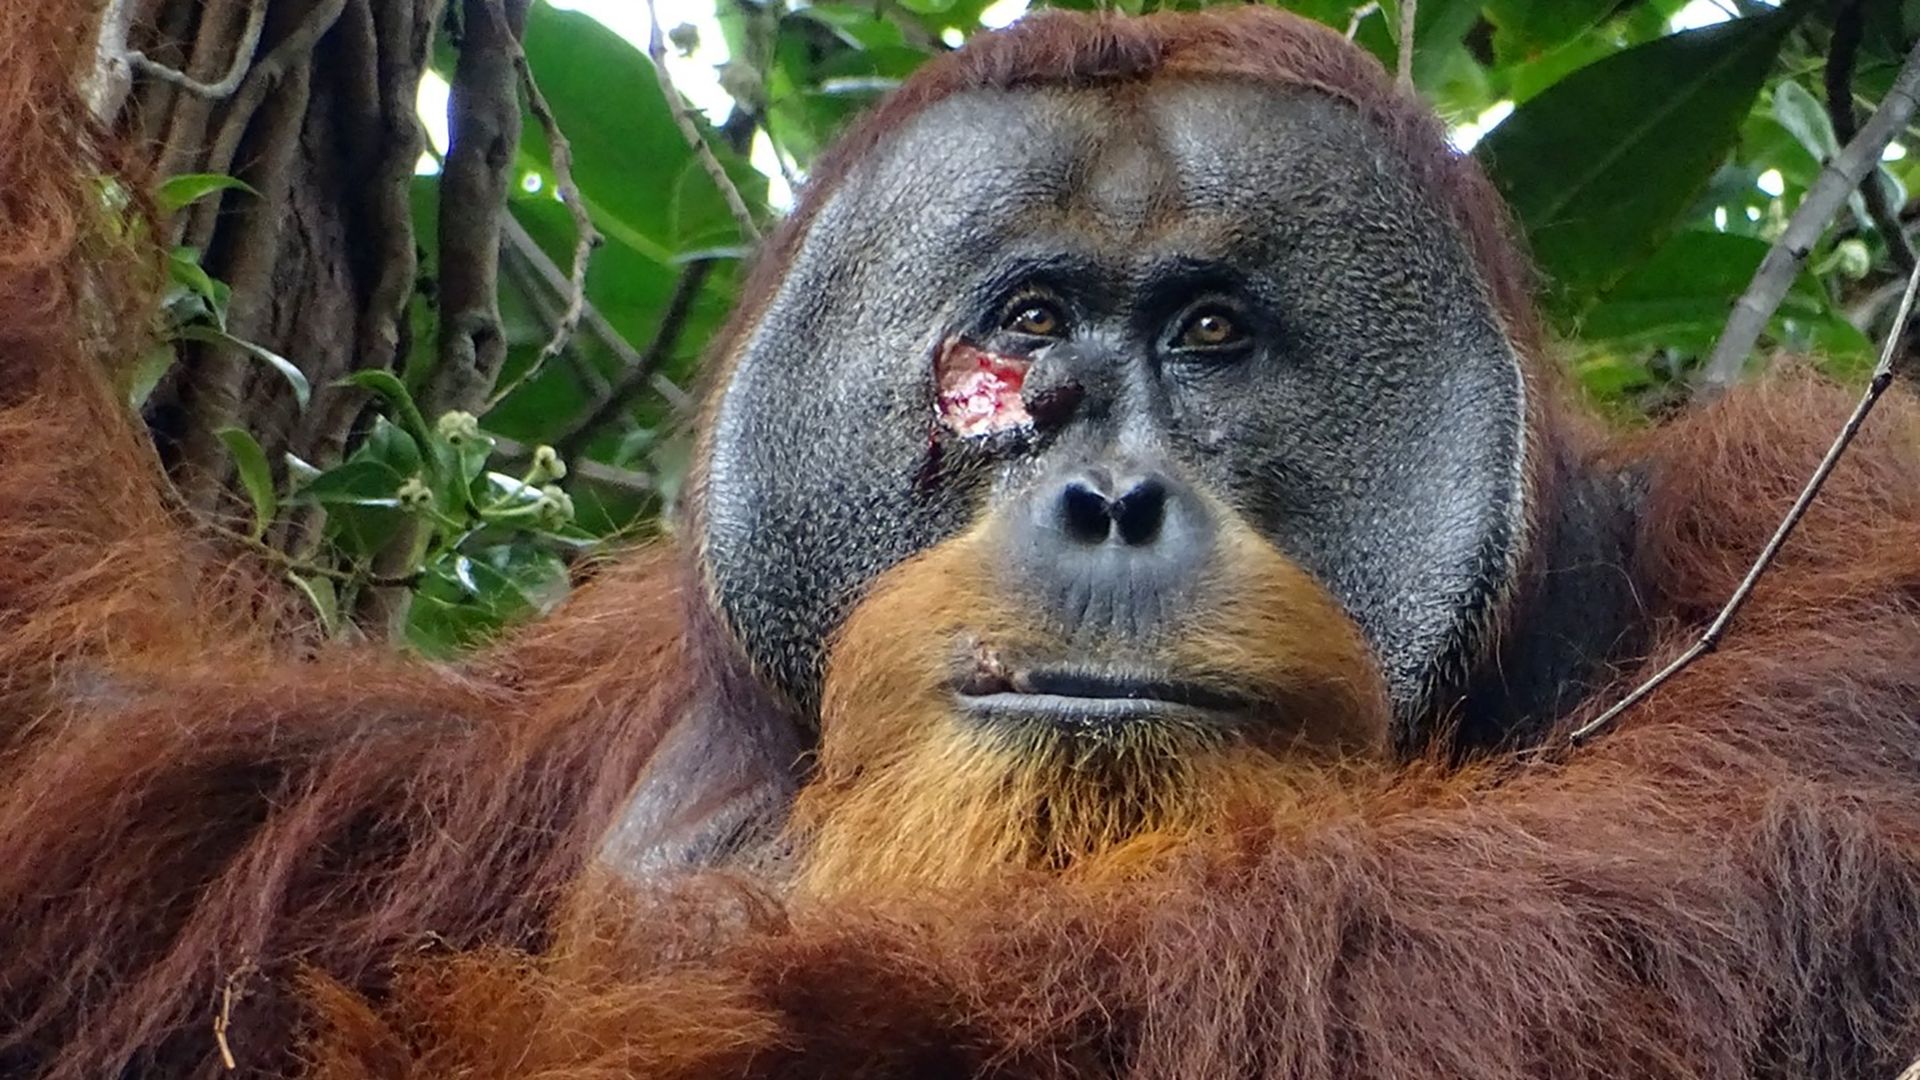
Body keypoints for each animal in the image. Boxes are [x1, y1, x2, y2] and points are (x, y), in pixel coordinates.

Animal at [4, 4, 1920, 1078]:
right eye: (1030, 325)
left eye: (1211, 334)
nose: (1109, 498)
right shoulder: (507, 753)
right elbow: (96, 754)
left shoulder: (1815, 538)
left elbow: (1651, 902)